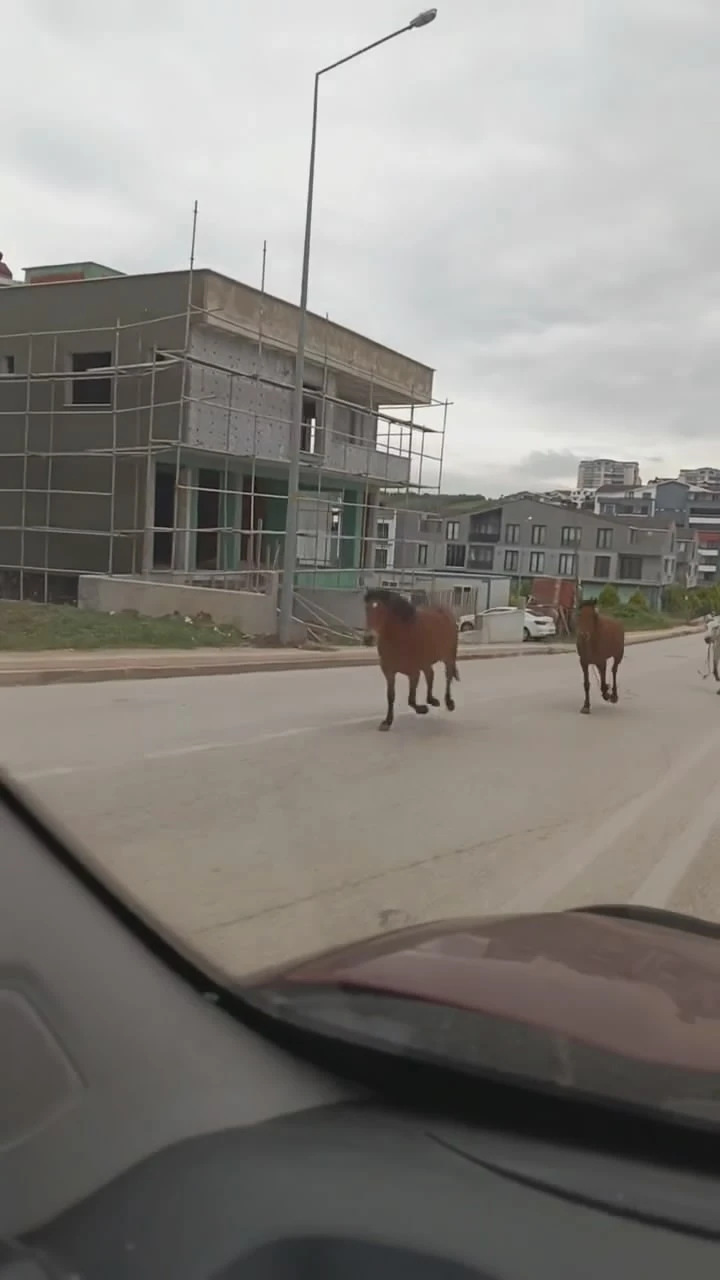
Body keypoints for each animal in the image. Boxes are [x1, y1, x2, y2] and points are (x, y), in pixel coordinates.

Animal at [361, 586, 456, 732]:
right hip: (426, 661)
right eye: (366, 608)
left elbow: (411, 699)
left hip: (448, 657)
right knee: (430, 674)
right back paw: (432, 700)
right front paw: (387, 722)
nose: (368, 638)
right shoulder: (389, 672)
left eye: (382, 609)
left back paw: (449, 702)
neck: (401, 636)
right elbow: (391, 696)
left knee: (448, 676)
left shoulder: (413, 673)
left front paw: (422, 709)